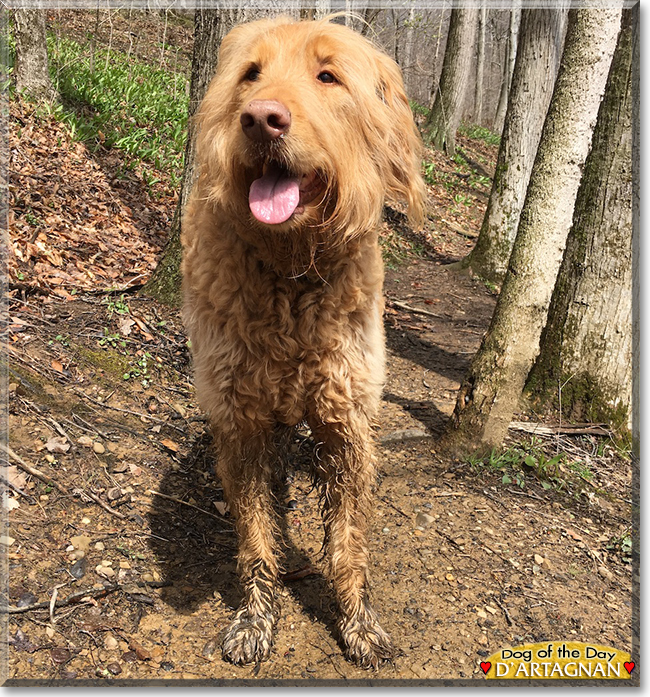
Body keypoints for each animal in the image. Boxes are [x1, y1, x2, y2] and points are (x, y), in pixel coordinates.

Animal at [182, 16, 426, 668]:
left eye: (328, 76)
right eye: (251, 74)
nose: (261, 118)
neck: (290, 271)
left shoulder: (346, 424)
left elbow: (348, 542)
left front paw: (357, 621)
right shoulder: (240, 422)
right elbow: (256, 539)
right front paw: (256, 619)